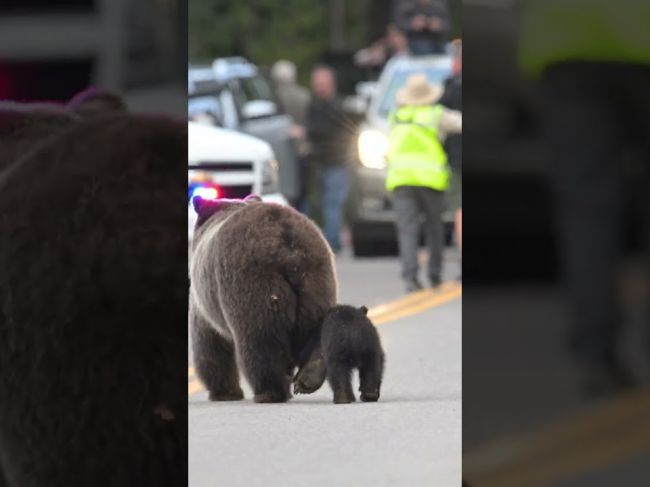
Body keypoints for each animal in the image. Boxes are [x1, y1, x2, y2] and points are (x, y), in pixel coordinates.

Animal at [187, 195, 334, 404]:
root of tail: (286, 243)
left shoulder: (203, 301)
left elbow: (210, 345)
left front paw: (224, 392)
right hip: (316, 277)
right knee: (317, 326)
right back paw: (309, 376)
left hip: (252, 282)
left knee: (260, 341)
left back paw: (269, 391)